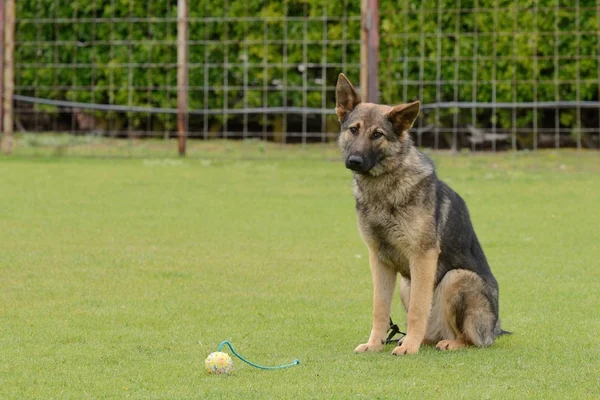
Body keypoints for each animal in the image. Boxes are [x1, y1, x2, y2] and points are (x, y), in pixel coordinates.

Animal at [336, 73, 508, 354]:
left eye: (377, 134)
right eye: (353, 129)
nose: (354, 161)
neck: (385, 188)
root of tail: (495, 329)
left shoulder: (423, 256)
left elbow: (418, 309)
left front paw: (408, 349)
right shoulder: (379, 260)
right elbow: (379, 308)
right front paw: (375, 344)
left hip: (456, 278)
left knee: (471, 339)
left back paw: (444, 342)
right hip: (406, 284)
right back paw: (416, 339)